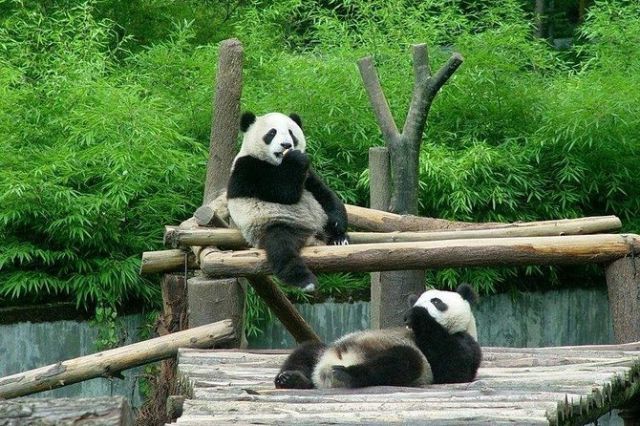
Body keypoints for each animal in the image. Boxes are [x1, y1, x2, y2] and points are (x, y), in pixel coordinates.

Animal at [226, 110, 350, 292]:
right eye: (272, 133)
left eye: (291, 133)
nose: (286, 145)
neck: (278, 163)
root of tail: (312, 237)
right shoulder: (248, 169)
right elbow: (285, 191)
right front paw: (296, 158)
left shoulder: (308, 176)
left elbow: (325, 194)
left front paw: (337, 225)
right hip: (275, 225)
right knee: (282, 249)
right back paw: (305, 281)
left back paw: (339, 239)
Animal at [274, 282, 480, 390]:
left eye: (436, 301)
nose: (410, 312)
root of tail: (323, 371)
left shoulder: (463, 342)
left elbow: (452, 369)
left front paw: (418, 316)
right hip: (326, 349)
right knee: (306, 350)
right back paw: (291, 378)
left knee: (403, 361)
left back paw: (346, 375)